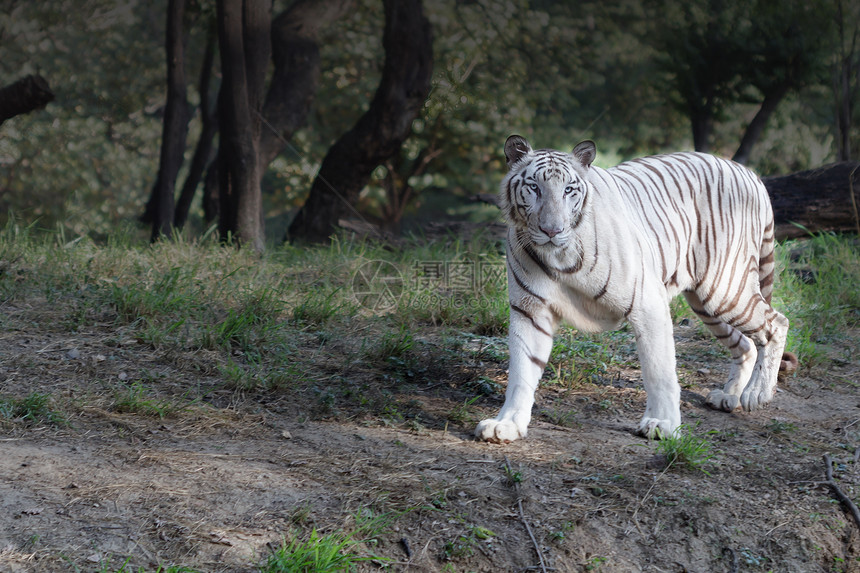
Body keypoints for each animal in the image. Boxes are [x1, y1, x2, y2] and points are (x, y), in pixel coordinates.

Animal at [474, 135, 796, 442]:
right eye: (534, 188)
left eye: (568, 190)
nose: (552, 230)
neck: (559, 258)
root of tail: (748, 172)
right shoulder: (530, 310)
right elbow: (521, 372)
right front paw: (507, 424)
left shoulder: (648, 303)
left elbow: (659, 372)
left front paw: (663, 425)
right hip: (706, 303)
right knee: (746, 344)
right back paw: (729, 396)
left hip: (725, 289)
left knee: (776, 323)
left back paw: (757, 394)